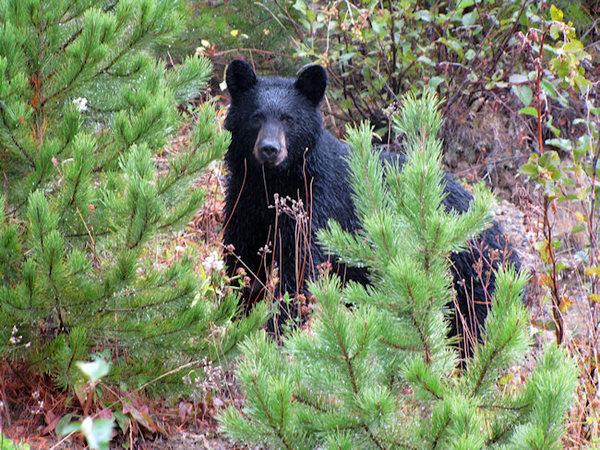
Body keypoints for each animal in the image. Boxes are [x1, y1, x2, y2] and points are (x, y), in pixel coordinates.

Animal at [223, 59, 516, 348]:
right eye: (256, 117)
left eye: (288, 119)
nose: (270, 149)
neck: (274, 181)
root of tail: (507, 245)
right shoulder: (244, 199)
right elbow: (242, 255)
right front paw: (238, 315)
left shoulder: (317, 203)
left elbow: (299, 264)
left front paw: (278, 329)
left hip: (472, 278)